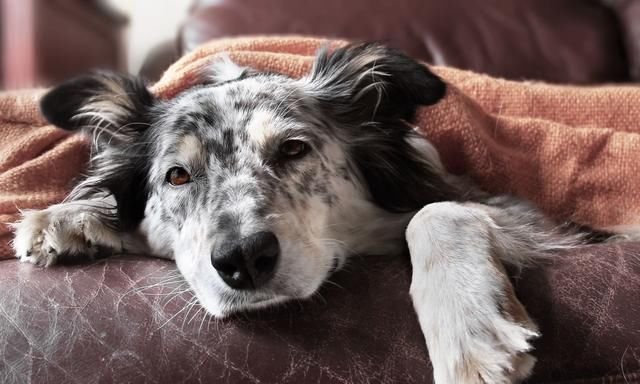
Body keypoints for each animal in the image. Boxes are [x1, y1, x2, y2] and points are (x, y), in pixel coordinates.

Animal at [11, 43, 632, 382]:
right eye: (178, 176)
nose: (243, 260)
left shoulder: (525, 216)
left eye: (293, 149)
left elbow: (435, 211)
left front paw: (469, 330)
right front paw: (67, 217)